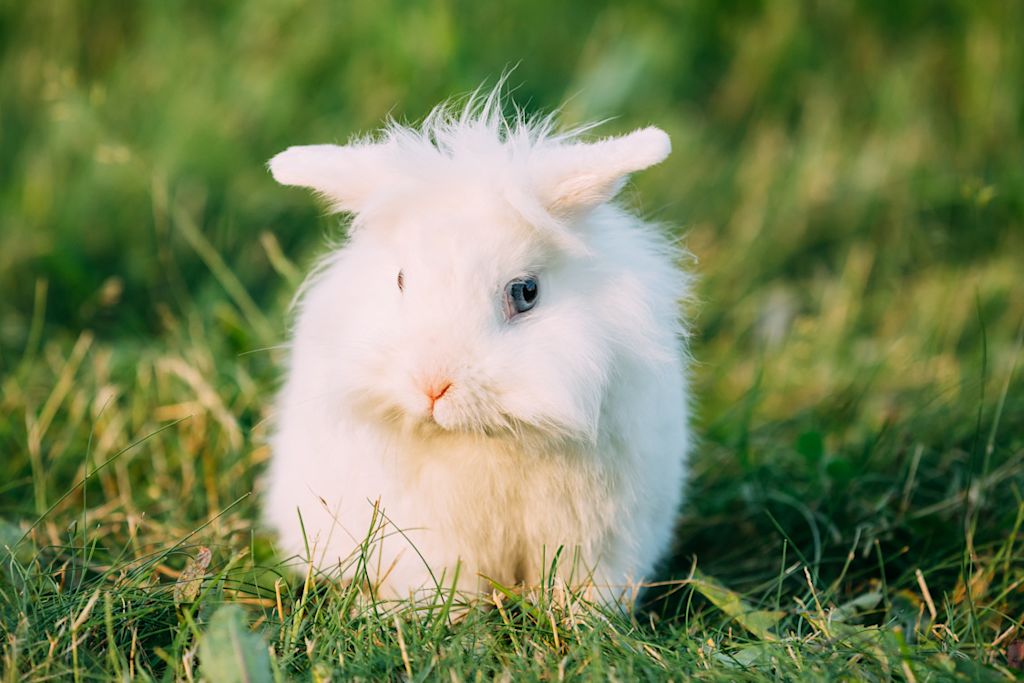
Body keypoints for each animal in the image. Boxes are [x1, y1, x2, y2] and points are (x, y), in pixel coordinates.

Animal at [263, 91, 692, 607]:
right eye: (401, 279)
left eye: (526, 292)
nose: (432, 385)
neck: (489, 434)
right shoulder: (428, 538)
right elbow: (444, 583)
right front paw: (444, 617)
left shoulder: (597, 537)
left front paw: (582, 618)